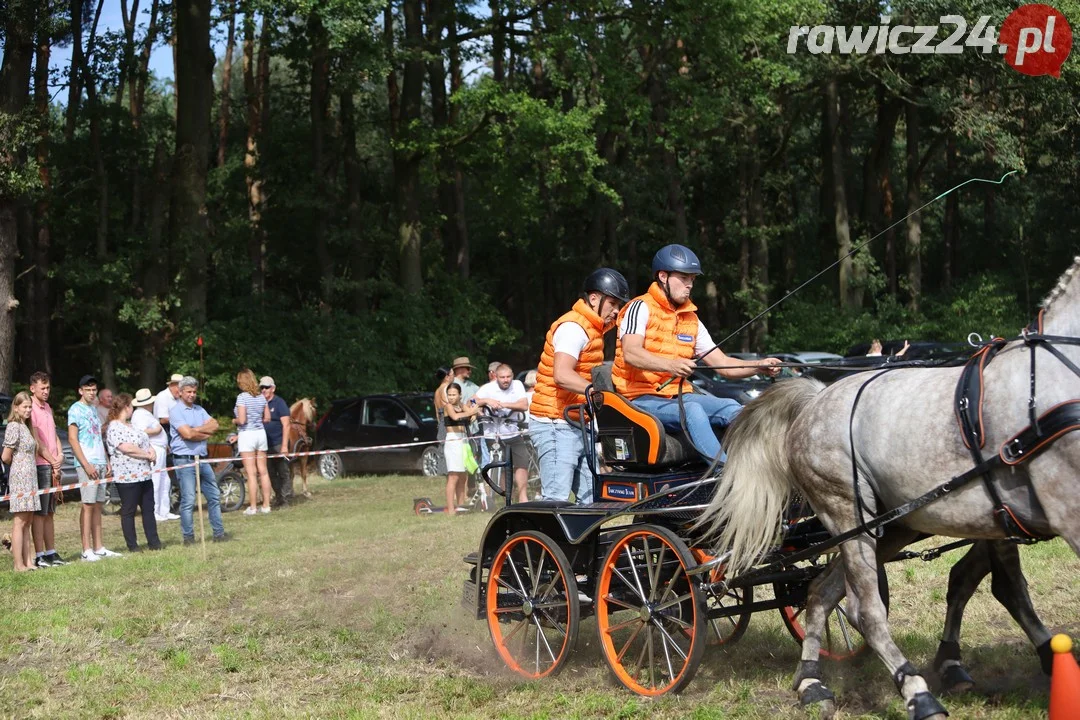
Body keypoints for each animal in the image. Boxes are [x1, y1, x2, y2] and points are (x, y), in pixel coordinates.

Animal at [695, 255, 1075, 716]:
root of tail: (815, 396)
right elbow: (1001, 585)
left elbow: (989, 582)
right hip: (849, 514)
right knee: (864, 609)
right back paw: (917, 692)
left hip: (892, 524)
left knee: (821, 591)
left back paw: (813, 681)